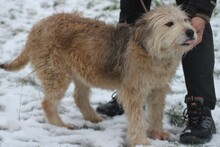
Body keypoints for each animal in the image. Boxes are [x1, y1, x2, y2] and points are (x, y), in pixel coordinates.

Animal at [0, 5, 196, 146]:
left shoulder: (158, 89)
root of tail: (36, 27)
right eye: (169, 24)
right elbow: (137, 117)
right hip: (56, 74)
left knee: (78, 96)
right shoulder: (133, 91)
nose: (191, 31)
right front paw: (140, 141)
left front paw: (157, 133)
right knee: (48, 102)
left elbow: (156, 113)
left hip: (81, 72)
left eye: (185, 20)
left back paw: (92, 118)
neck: (151, 50)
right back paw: (60, 125)